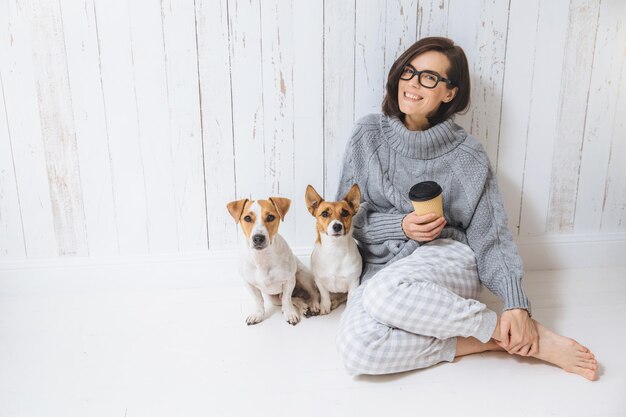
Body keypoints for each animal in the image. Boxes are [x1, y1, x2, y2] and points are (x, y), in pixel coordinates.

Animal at [304, 184, 360, 314]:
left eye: (345, 213)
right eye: (324, 214)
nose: (337, 226)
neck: (335, 248)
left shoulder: (354, 282)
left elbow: (350, 298)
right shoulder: (319, 281)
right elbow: (324, 295)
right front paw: (325, 306)